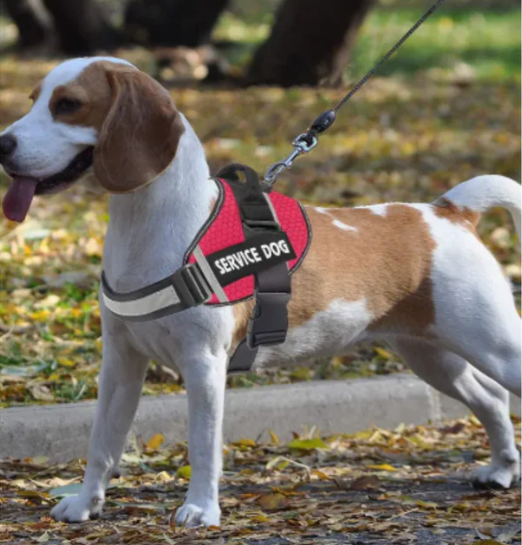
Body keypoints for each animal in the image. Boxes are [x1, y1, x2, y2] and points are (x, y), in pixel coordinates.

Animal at [0, 58, 516, 528]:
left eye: (68, 104)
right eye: (33, 99)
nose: (2, 143)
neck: (152, 225)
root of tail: (446, 211)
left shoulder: (204, 365)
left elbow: (203, 446)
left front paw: (201, 510)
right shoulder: (121, 363)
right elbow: (102, 443)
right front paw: (85, 505)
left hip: (494, 347)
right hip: (432, 357)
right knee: (491, 399)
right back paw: (501, 470)